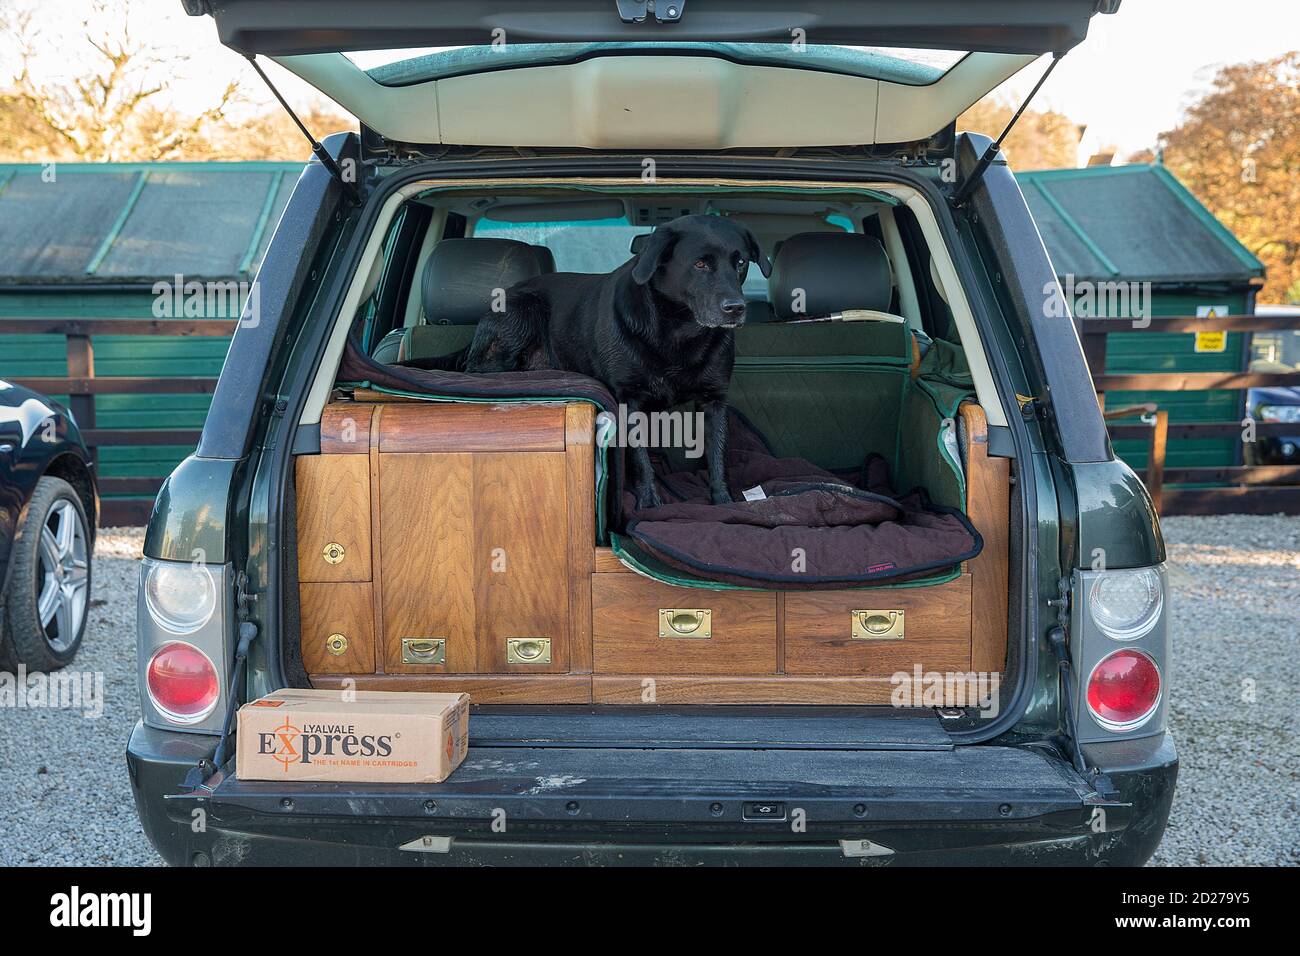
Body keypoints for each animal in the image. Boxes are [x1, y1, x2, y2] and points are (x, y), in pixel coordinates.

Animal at [462, 215, 764, 509]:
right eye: (700, 263)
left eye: (740, 263)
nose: (736, 308)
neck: (680, 330)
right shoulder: (629, 399)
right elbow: (640, 458)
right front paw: (649, 502)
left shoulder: (714, 399)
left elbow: (717, 453)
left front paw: (723, 500)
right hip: (523, 310)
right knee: (478, 367)